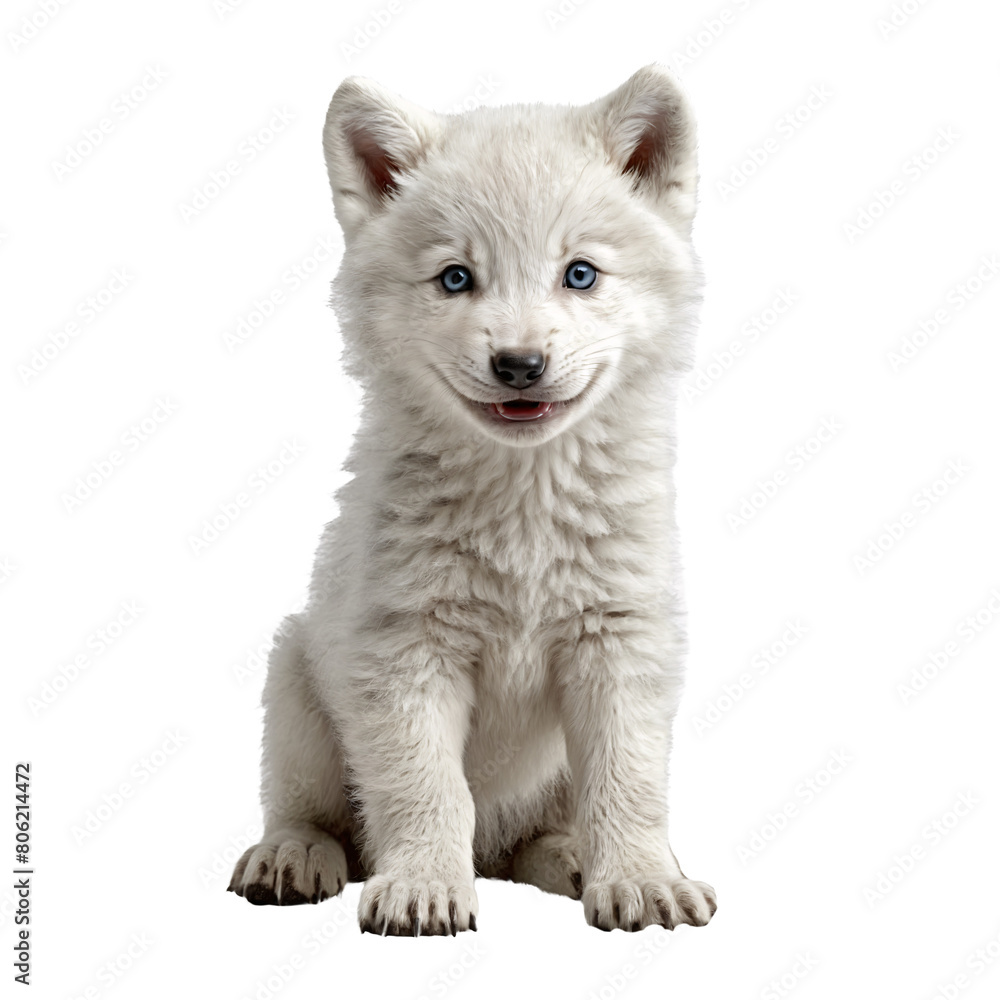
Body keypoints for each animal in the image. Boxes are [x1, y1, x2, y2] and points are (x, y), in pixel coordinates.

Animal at [229, 68, 712, 936]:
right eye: (456, 277)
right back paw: (293, 855)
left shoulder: (621, 643)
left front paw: (643, 879)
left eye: (580, 273)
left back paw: (572, 858)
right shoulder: (403, 649)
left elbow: (627, 782)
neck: (523, 499)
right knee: (313, 810)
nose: (519, 365)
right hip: (294, 676)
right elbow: (425, 785)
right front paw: (423, 887)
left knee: (538, 834)